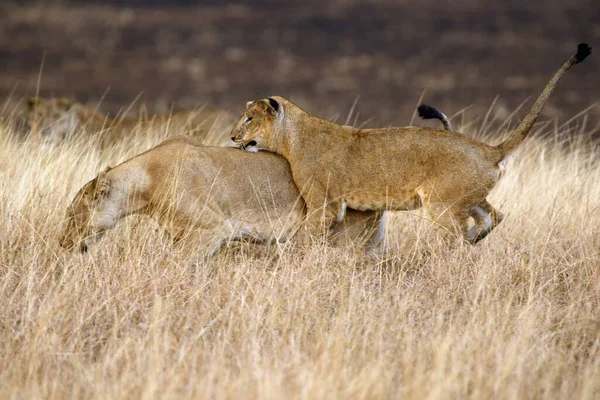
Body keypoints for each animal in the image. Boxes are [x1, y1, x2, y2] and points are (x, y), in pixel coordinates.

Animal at [232, 43, 592, 244]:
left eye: (249, 118)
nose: (232, 137)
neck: (293, 135)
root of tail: (490, 149)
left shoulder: (325, 205)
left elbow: (307, 235)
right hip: (469, 197)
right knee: (494, 216)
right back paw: (475, 240)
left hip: (442, 205)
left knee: (456, 238)